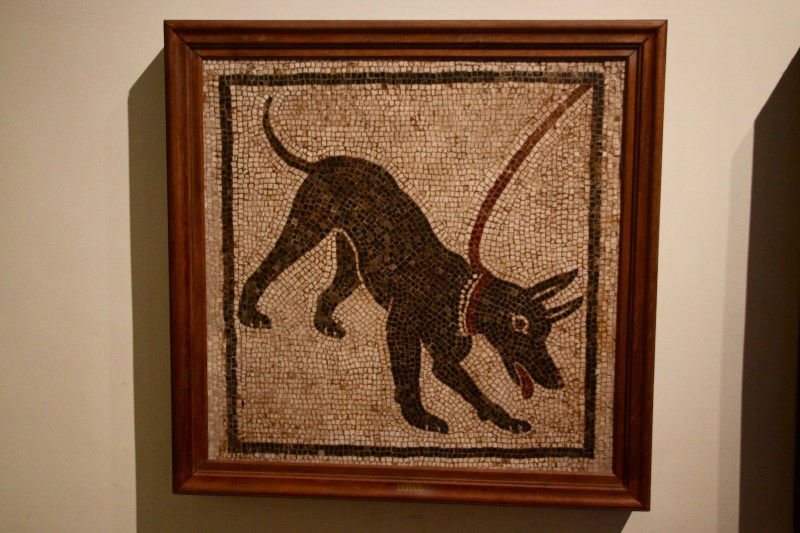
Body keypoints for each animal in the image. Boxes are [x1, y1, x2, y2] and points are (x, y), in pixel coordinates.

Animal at [238, 96, 584, 434]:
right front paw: (418, 417)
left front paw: (505, 420)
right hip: (306, 227)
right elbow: (412, 378)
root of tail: (325, 163)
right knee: (264, 270)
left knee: (329, 291)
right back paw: (248, 314)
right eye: (531, 338)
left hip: (352, 261)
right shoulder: (401, 330)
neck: (463, 296)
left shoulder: (444, 359)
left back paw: (324, 324)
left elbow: (476, 394)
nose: (558, 380)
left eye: (547, 336)